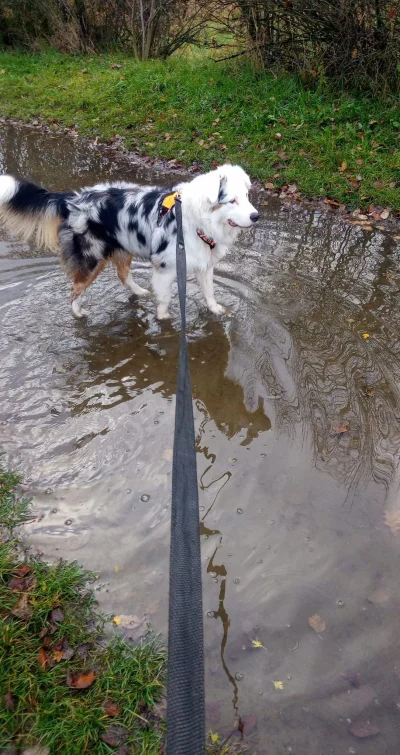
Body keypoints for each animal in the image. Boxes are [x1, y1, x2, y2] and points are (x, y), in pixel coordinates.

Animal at [0, 165, 258, 318]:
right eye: (232, 201)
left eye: (246, 197)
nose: (256, 216)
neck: (195, 218)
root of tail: (73, 199)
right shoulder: (165, 267)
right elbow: (164, 300)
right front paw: (165, 322)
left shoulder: (203, 262)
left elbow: (209, 291)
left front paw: (216, 309)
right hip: (93, 257)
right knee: (75, 288)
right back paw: (78, 313)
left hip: (124, 246)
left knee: (122, 275)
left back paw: (140, 291)